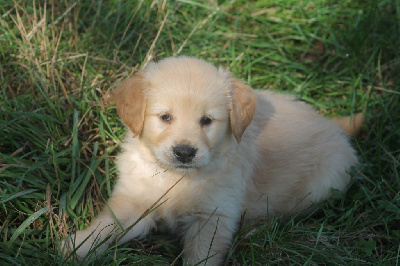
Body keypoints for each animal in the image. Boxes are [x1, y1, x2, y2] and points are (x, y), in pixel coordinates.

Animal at [63, 56, 360, 264]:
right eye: (165, 117)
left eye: (206, 120)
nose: (185, 152)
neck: (176, 177)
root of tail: (333, 126)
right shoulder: (135, 200)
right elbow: (107, 224)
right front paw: (79, 246)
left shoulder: (213, 218)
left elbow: (202, 256)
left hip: (324, 184)